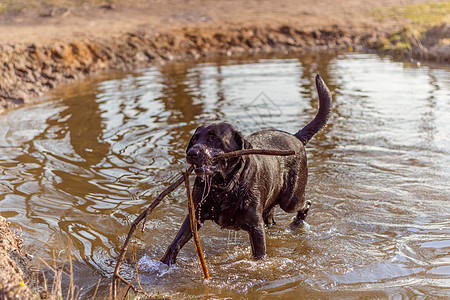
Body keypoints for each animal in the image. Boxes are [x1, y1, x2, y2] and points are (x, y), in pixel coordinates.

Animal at [161, 74, 330, 264]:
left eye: (214, 137)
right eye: (195, 138)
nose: (191, 153)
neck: (223, 187)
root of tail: (296, 137)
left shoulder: (255, 227)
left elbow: (260, 255)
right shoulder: (194, 216)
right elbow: (175, 243)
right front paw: (164, 264)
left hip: (290, 199)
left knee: (305, 204)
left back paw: (297, 222)